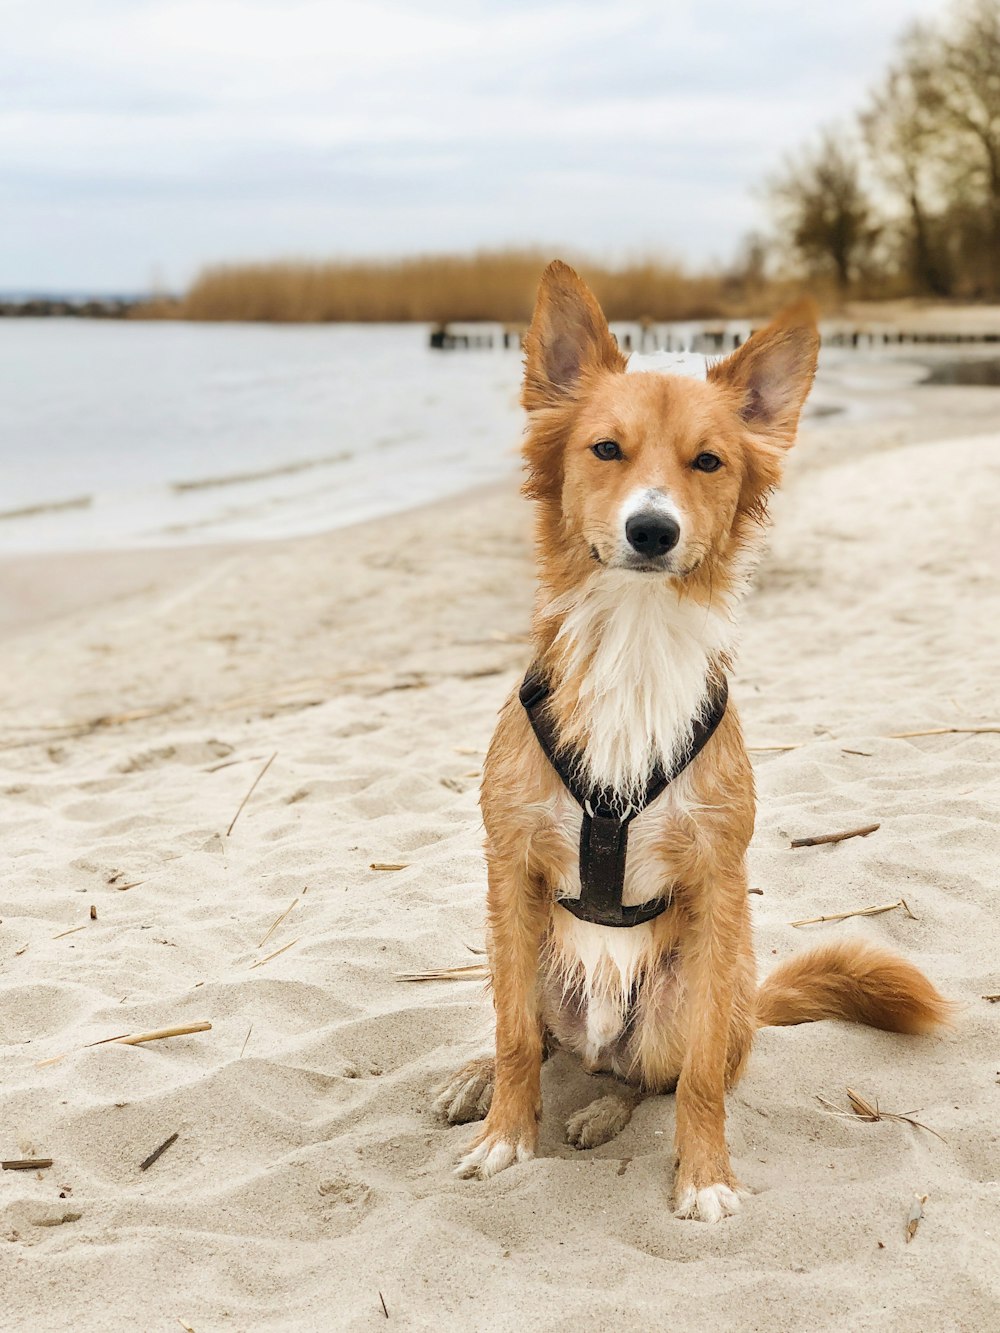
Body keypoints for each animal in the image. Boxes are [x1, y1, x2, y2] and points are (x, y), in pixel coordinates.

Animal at [434, 262, 949, 1226]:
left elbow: (703, 1081)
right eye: (605, 449)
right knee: (537, 1035)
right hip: (528, 949)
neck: (634, 646)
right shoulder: (509, 869)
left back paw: (604, 1108)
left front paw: (704, 1173)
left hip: (691, 993)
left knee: (647, 1075)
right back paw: (479, 1079)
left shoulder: (716, 883)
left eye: (708, 462)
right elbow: (516, 1034)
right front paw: (504, 1132)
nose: (653, 529)